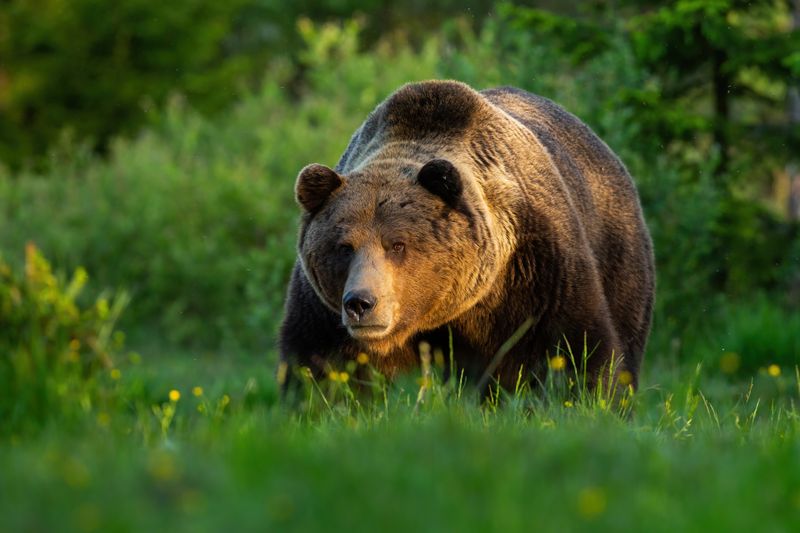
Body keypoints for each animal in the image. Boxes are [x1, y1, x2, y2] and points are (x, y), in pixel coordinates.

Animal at [278, 80, 652, 394]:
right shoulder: (322, 310)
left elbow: (577, 348)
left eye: (397, 244)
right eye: (344, 247)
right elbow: (319, 367)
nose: (360, 303)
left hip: (618, 255)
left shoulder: (537, 270)